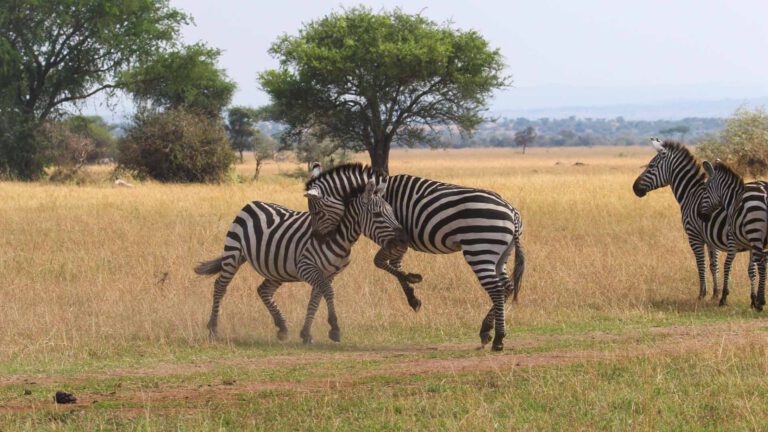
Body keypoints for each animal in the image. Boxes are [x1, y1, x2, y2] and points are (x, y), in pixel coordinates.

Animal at [194, 177, 408, 343]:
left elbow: (315, 300)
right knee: (220, 286)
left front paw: (306, 333)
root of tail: (252, 203)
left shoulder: (328, 274)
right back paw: (213, 329)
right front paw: (334, 328)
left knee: (263, 290)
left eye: (392, 211)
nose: (403, 239)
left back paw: (282, 327)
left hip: (276, 268)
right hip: (233, 252)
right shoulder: (307, 268)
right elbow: (328, 293)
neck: (338, 237)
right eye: (377, 214)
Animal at [304, 164, 525, 352]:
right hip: (501, 254)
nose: (317, 238)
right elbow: (392, 264)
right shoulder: (398, 239)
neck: (382, 192)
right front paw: (411, 290)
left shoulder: (396, 238)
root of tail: (512, 212)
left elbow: (381, 262)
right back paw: (487, 331)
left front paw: (412, 291)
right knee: (506, 286)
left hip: (480, 248)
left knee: (496, 289)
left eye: (316, 212)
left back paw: (498, 339)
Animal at [632, 138, 761, 305]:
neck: (690, 194)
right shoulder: (710, 239)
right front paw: (715, 293)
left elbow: (701, 264)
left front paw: (702, 294)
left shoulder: (694, 236)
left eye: (651, 166)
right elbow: (713, 265)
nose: (634, 188)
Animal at [699, 160, 768, 310]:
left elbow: (727, 265)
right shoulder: (751, 244)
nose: (701, 216)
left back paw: (761, 301)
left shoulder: (732, 240)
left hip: (756, 234)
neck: (732, 199)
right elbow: (751, 270)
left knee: (762, 265)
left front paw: (723, 297)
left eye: (705, 189)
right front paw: (752, 300)